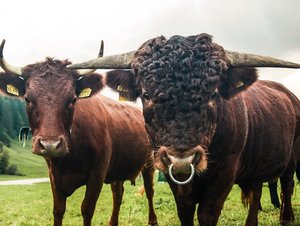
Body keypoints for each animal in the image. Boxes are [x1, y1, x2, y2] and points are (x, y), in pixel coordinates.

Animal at [0, 39, 158, 226]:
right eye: (27, 99)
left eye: (73, 99)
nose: (50, 145)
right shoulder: (54, 175)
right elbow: (58, 210)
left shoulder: (98, 173)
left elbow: (87, 209)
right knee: (118, 193)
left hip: (149, 162)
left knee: (149, 190)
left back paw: (153, 220)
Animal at [69, 32, 300, 225]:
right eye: (146, 95)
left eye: (214, 94)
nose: (182, 158)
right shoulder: (173, 178)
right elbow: (185, 212)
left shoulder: (224, 175)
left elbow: (207, 214)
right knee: (257, 190)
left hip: (291, 158)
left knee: (286, 185)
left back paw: (286, 217)